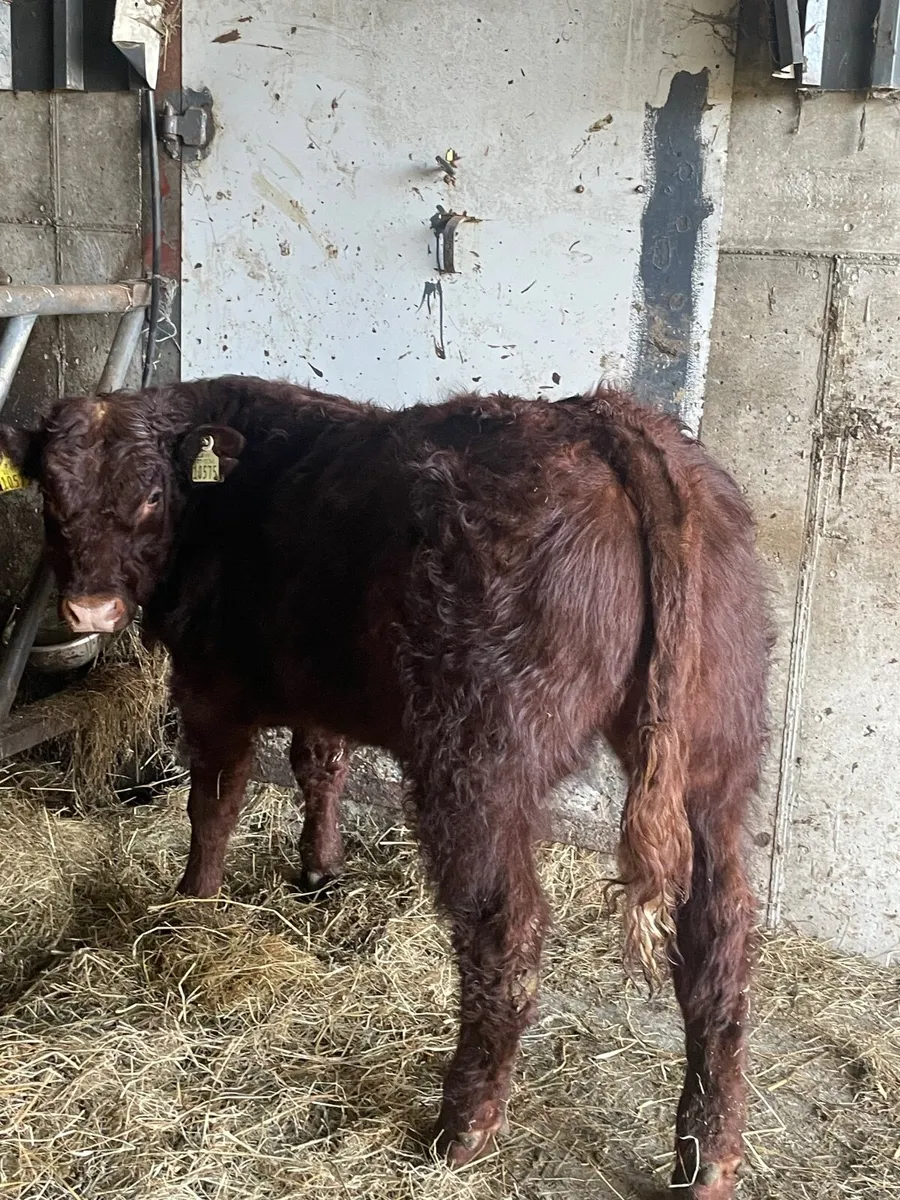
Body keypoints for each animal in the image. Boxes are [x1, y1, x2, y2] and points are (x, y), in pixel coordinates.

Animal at [0, 376, 770, 1199]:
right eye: (51, 494)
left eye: (150, 494)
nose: (90, 610)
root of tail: (603, 421)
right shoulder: (316, 686)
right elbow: (319, 763)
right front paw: (318, 868)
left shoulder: (211, 688)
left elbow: (214, 803)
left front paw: (191, 911)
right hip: (714, 758)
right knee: (718, 932)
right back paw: (708, 1156)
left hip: (478, 764)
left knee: (508, 928)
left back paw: (462, 1128)